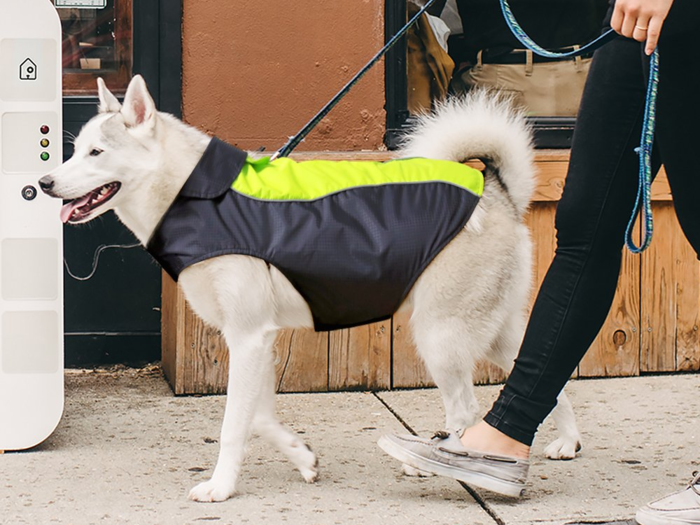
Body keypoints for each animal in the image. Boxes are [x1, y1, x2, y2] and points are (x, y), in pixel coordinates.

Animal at [41, 75, 584, 502]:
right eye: (74, 150)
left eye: (96, 153)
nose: (44, 183)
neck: (195, 194)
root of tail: (495, 188)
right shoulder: (255, 340)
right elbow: (259, 418)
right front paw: (301, 457)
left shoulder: (248, 338)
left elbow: (234, 426)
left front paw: (221, 487)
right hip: (494, 333)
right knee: (546, 373)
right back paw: (565, 443)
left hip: (441, 336)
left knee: (466, 408)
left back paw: (441, 460)